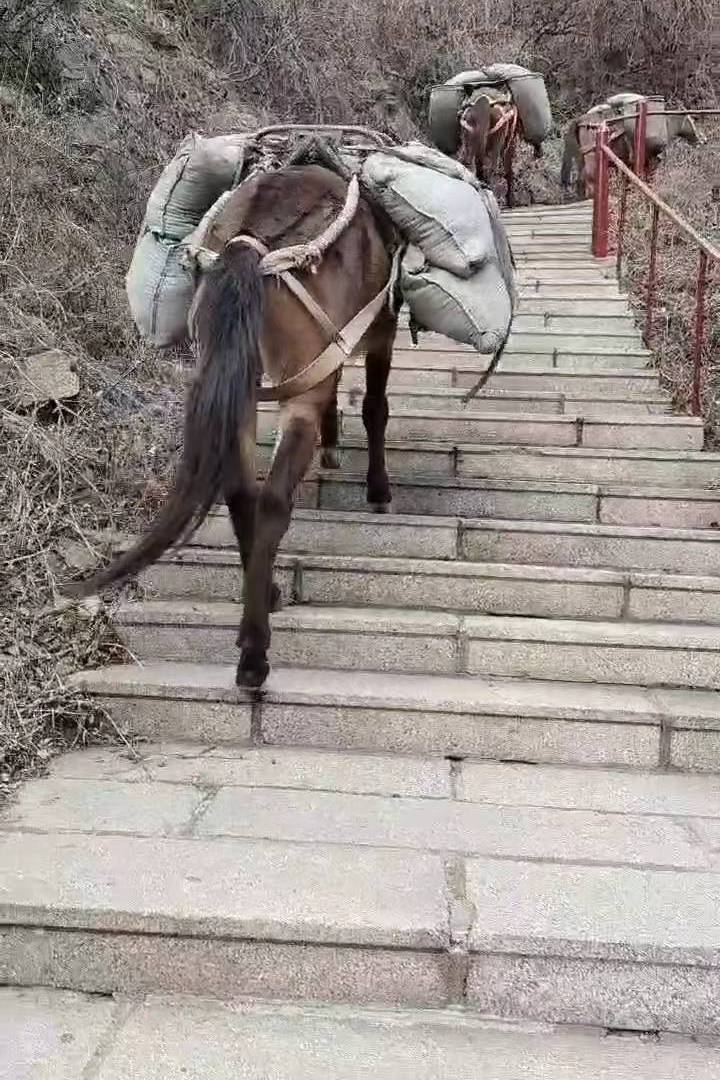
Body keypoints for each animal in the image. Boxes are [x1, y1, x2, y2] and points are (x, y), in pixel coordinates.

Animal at [65, 164, 401, 689]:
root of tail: (251, 245)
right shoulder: (381, 329)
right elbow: (374, 408)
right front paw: (378, 490)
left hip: (238, 381)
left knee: (242, 492)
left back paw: (267, 596)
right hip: (295, 389)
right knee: (274, 499)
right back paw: (254, 653)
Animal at [561, 107, 706, 198]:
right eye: (691, 121)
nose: (702, 139)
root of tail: (580, 121)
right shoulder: (650, 160)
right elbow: (647, 179)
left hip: (582, 158)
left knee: (581, 180)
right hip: (591, 158)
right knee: (587, 179)